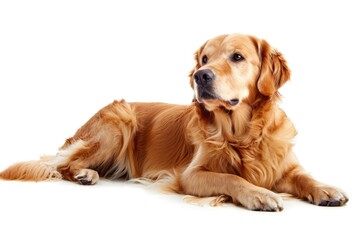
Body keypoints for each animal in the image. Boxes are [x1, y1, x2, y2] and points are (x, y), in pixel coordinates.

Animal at [0, 33, 348, 210]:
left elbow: (304, 177)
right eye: (205, 59)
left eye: (237, 57)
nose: (200, 75)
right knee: (63, 165)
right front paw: (260, 194)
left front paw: (327, 189)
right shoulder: (191, 175)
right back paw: (85, 173)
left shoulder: (284, 167)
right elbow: (231, 178)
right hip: (119, 122)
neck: (242, 134)